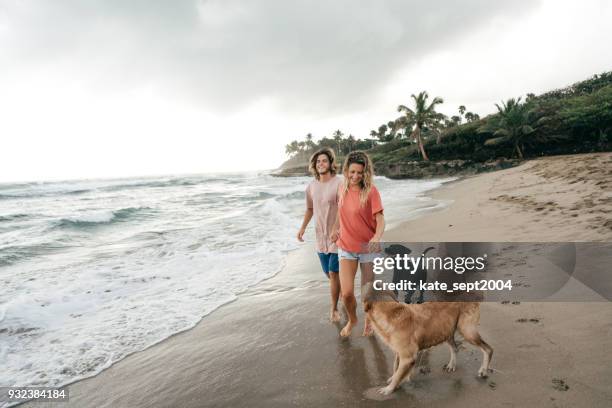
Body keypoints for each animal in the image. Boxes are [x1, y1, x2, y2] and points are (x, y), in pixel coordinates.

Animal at [360, 282, 494, 394]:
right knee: (455, 348)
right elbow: (395, 368)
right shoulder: (399, 352)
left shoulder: (408, 357)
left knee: (488, 349)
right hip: (446, 330)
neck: (391, 313)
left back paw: (483, 371)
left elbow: (398, 374)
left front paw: (389, 388)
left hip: (466, 330)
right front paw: (393, 379)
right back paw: (452, 365)